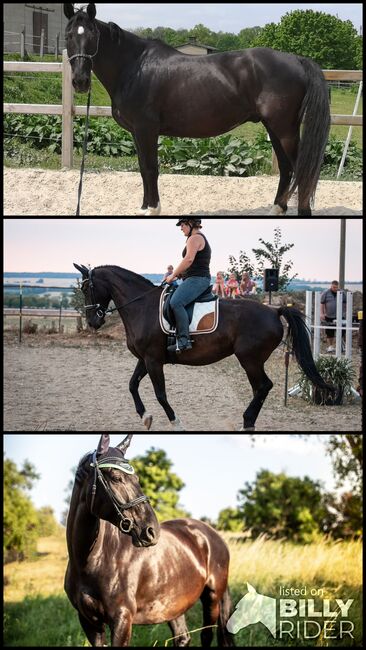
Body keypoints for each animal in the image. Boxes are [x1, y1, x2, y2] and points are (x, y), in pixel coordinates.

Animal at [64, 3, 330, 215]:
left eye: (92, 35)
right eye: (68, 35)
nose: (80, 81)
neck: (134, 67)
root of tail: (297, 60)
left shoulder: (146, 129)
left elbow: (150, 169)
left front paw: (152, 209)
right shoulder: (137, 133)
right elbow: (142, 168)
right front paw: (144, 207)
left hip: (284, 130)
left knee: (301, 171)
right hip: (274, 128)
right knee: (286, 169)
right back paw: (276, 209)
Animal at [65, 432, 234, 644]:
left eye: (137, 478)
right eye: (116, 477)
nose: (152, 530)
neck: (91, 560)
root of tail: (214, 535)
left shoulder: (122, 619)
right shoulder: (89, 622)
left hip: (212, 598)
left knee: (206, 635)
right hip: (173, 604)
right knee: (183, 637)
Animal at [73, 260, 334, 432]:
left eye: (86, 288)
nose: (93, 321)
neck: (142, 307)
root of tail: (275, 310)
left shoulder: (153, 360)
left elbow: (160, 394)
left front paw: (176, 423)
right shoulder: (145, 359)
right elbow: (131, 385)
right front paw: (145, 417)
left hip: (249, 359)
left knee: (263, 386)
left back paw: (247, 422)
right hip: (252, 360)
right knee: (260, 388)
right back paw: (249, 422)